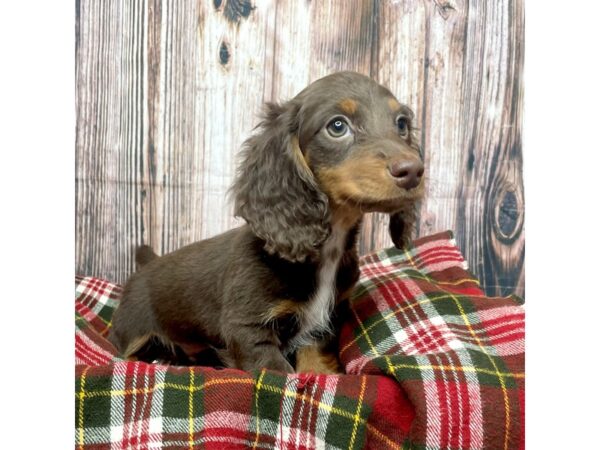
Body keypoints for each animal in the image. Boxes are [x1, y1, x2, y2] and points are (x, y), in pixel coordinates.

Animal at [109, 70, 426, 372]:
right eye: (337, 126)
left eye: (401, 124)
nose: (413, 171)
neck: (328, 246)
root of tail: (147, 265)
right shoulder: (247, 326)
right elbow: (275, 373)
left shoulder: (326, 318)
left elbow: (317, 359)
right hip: (131, 328)